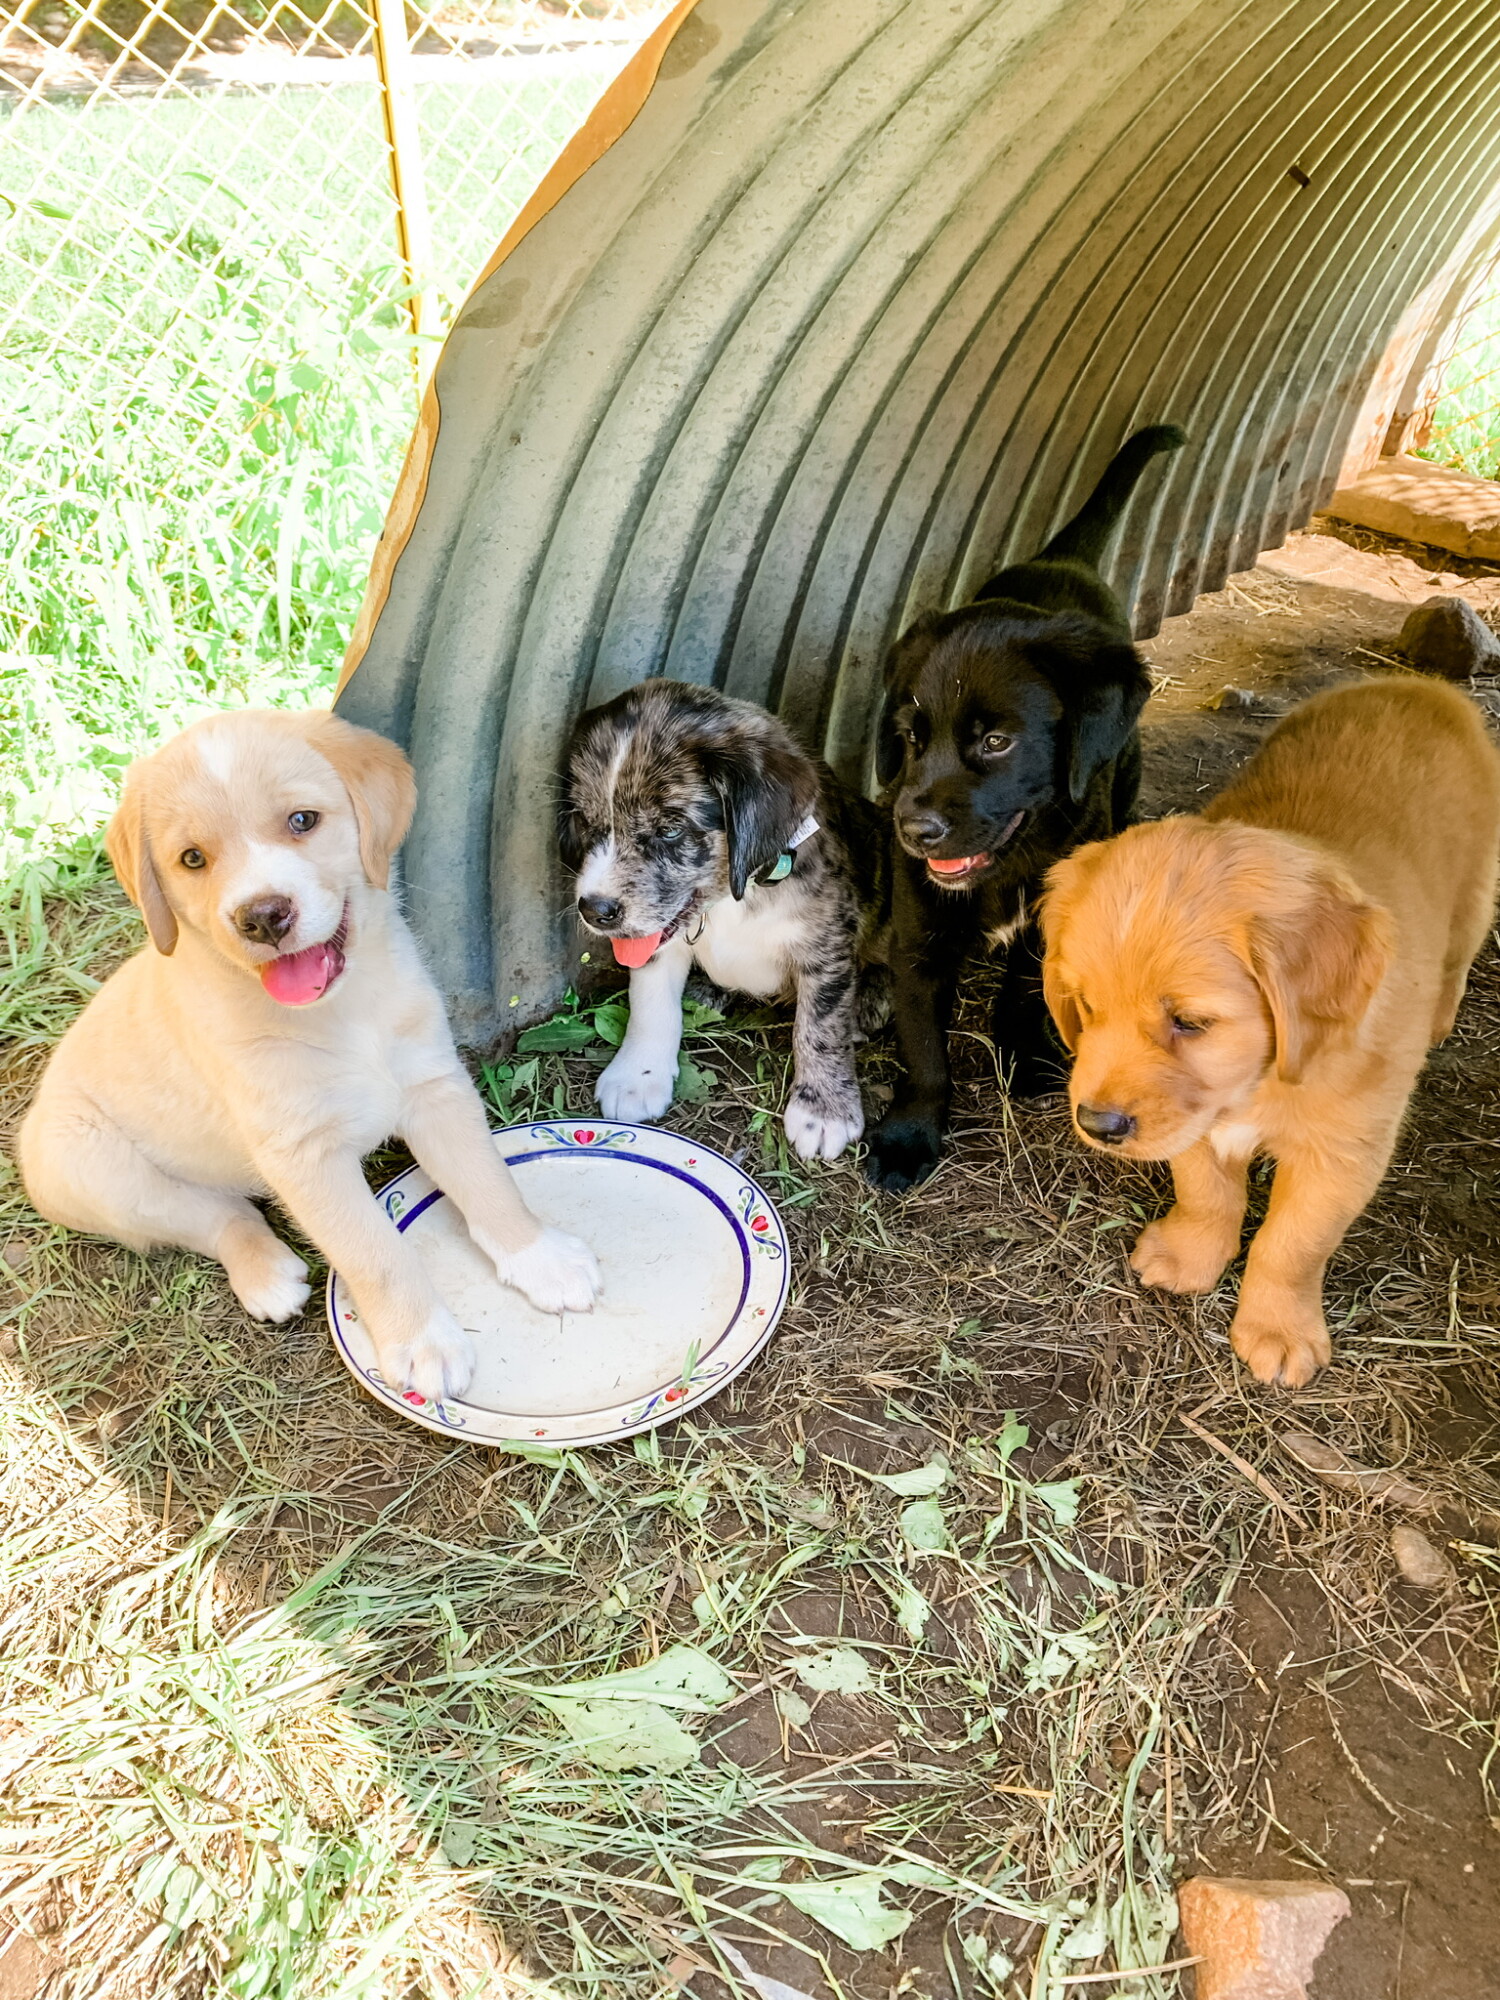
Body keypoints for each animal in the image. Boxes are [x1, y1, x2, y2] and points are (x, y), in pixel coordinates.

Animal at [19, 712, 600, 1400]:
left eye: (302, 820)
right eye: (192, 859)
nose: (262, 916)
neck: (345, 1012)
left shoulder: (434, 1086)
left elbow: (488, 1181)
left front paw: (542, 1259)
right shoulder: (303, 1157)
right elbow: (374, 1252)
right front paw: (423, 1343)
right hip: (83, 1166)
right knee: (213, 1213)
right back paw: (266, 1273)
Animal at [564, 684, 892, 1168]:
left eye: (670, 830)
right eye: (586, 821)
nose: (595, 909)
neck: (733, 898)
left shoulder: (827, 944)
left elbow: (820, 1025)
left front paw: (824, 1109)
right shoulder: (658, 936)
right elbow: (649, 1003)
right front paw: (637, 1075)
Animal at [868, 420, 1184, 1184]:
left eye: (996, 741)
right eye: (909, 737)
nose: (912, 830)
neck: (1009, 865)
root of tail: (1058, 557)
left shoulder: (1054, 924)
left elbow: (1025, 988)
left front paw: (1027, 1051)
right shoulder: (917, 941)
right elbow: (923, 1048)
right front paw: (911, 1134)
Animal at [1048, 680, 1500, 1384]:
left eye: (1190, 1022)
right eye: (1087, 1006)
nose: (1098, 1125)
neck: (1263, 1081)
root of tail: (1418, 684)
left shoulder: (1342, 1153)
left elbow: (1291, 1244)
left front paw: (1279, 1330)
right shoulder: (1196, 1117)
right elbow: (1207, 1193)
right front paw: (1189, 1257)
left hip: (1478, 890)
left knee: (1459, 955)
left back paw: (1440, 1017)